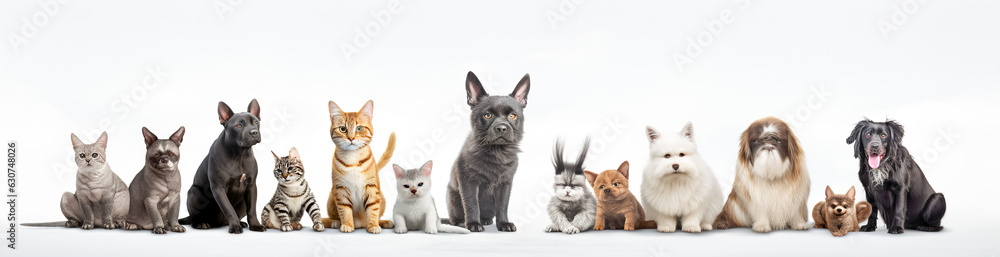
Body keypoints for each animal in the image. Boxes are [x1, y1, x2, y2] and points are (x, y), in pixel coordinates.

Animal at [322, 98, 396, 232]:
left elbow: (373, 209)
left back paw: (383, 222)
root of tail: (361, 224)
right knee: (328, 218)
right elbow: (344, 210)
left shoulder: (372, 188)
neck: (352, 159)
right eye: (342, 129)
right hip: (331, 198)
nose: (351, 138)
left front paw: (373, 226)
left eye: (359, 128)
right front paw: (347, 224)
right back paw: (335, 222)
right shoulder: (340, 189)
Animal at [448, 70, 532, 232]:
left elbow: (502, 206)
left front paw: (504, 223)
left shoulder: (505, 184)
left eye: (512, 116)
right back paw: (464, 223)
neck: (496, 152)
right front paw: (473, 223)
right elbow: (471, 203)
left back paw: (486, 220)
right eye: (488, 115)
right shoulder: (468, 182)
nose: (501, 128)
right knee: (456, 219)